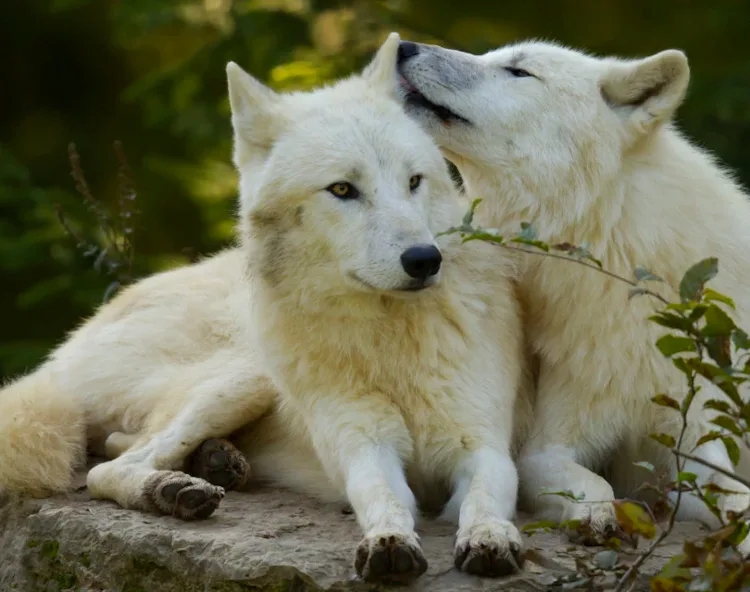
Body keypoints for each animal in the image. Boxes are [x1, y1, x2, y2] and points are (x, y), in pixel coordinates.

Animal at [0, 34, 532, 580]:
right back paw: (175, 488)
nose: (424, 259)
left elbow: (486, 499)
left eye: (414, 181)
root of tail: (64, 350)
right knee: (109, 467)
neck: (390, 340)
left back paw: (213, 465)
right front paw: (388, 543)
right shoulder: (364, 447)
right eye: (342, 189)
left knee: (116, 448)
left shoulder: (485, 446)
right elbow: (383, 497)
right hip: (246, 376)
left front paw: (490, 539)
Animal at [400, 40, 750, 552]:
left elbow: (738, 495)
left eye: (518, 71)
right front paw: (599, 516)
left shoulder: (696, 440)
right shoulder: (544, 448)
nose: (404, 46)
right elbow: (592, 481)